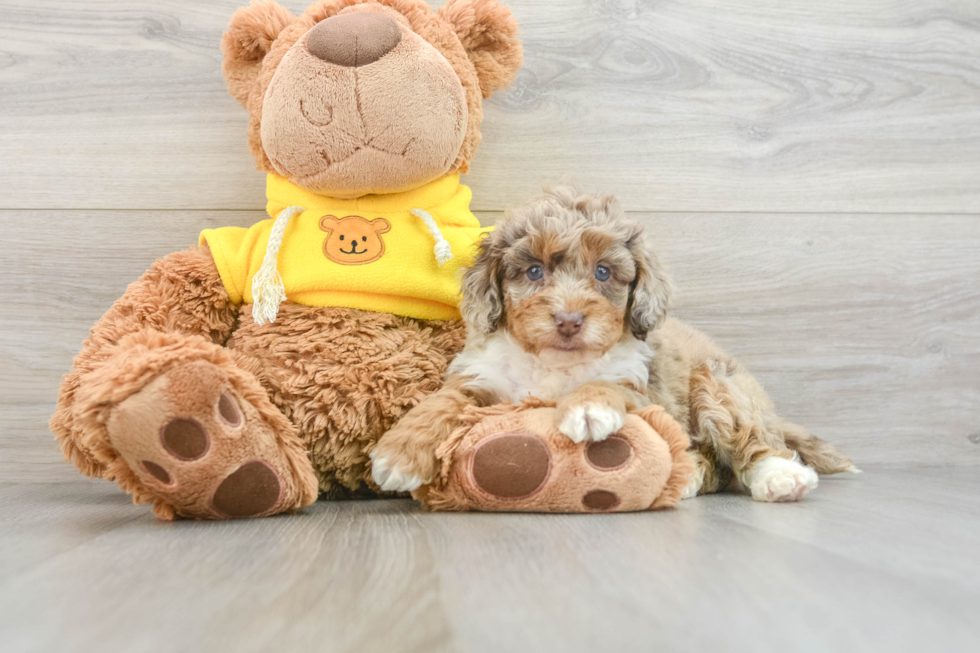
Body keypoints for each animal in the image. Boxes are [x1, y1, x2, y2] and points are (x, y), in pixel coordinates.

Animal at [372, 186, 852, 502]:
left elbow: (605, 385)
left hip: (720, 384)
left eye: (603, 272)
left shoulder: (639, 387)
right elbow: (439, 403)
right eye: (533, 271)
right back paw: (690, 474)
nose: (568, 320)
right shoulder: (480, 378)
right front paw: (398, 453)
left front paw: (587, 409)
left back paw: (780, 477)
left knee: (754, 442)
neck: (555, 364)